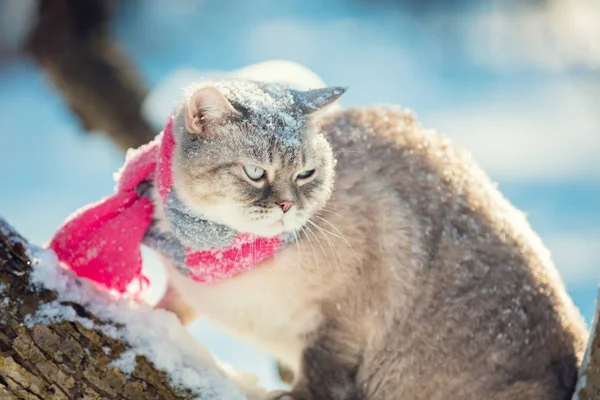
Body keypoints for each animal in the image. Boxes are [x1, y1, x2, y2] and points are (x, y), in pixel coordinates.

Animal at [148, 79, 588, 400]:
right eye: (255, 173)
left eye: (305, 175)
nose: (287, 206)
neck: (218, 250)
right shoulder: (188, 289)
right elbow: (168, 309)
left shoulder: (342, 320)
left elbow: (321, 376)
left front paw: (290, 396)